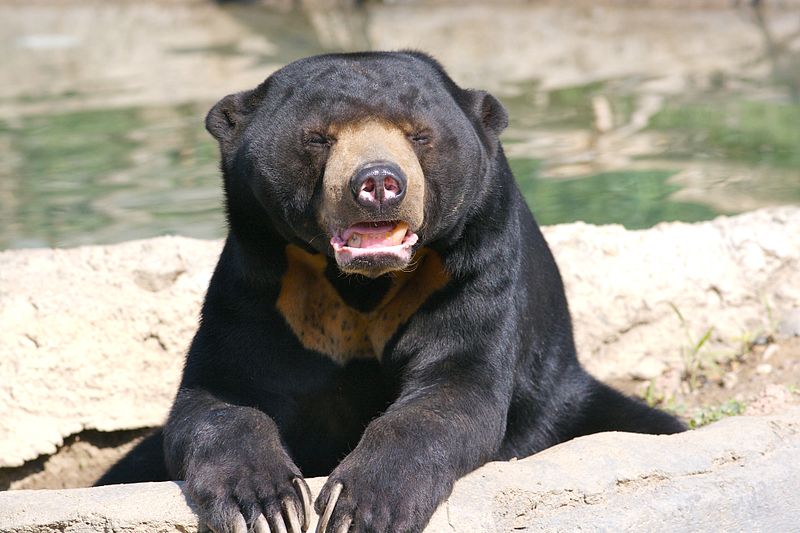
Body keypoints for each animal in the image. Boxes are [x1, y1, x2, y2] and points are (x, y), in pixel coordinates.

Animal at [98, 51, 685, 533]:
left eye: (419, 134)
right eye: (319, 137)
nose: (379, 182)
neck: (361, 283)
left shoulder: (470, 273)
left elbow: (452, 390)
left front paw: (360, 506)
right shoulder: (262, 285)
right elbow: (220, 395)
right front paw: (265, 506)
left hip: (563, 399)